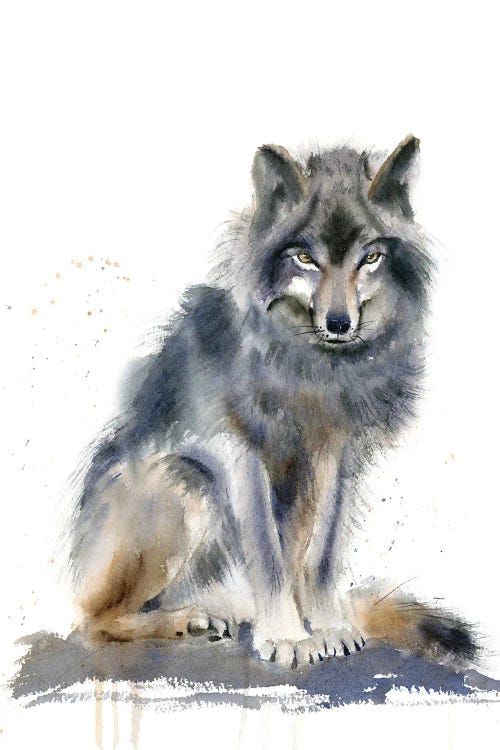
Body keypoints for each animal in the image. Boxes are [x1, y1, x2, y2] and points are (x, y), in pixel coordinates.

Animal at [68, 136, 476, 667]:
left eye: (369, 258)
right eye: (305, 258)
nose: (339, 324)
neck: (313, 369)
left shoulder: (335, 456)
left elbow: (321, 554)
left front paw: (326, 627)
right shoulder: (241, 450)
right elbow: (267, 554)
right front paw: (285, 636)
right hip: (189, 479)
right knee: (93, 621)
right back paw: (188, 620)